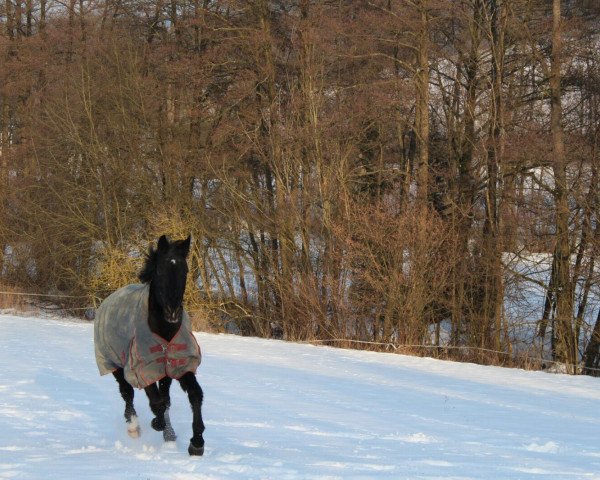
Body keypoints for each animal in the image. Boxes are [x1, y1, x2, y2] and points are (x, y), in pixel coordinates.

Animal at [94, 234, 206, 456]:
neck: (164, 331)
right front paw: (157, 423)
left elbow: (194, 395)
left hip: (164, 371)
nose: (173, 313)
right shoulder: (142, 367)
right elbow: (156, 402)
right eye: (160, 270)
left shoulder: (179, 364)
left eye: (185, 270)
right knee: (127, 393)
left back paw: (169, 434)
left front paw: (197, 443)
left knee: (165, 397)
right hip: (114, 363)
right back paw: (134, 427)